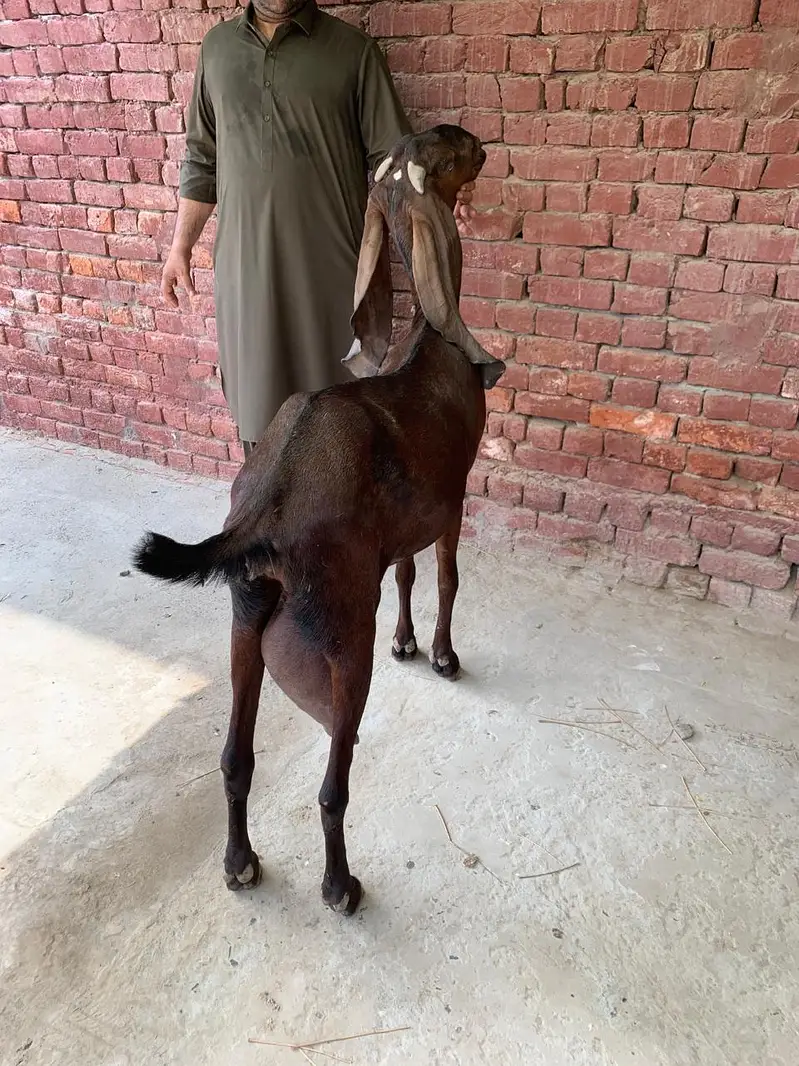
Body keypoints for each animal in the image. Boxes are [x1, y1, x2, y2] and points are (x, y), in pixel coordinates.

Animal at [133, 125, 503, 916]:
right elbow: (447, 577)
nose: (482, 144)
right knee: (333, 785)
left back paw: (240, 863)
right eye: (448, 151)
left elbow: (407, 573)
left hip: (245, 623)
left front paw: (406, 643)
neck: (432, 343)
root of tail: (264, 507)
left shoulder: (402, 525)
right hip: (337, 644)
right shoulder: (455, 497)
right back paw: (340, 885)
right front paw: (442, 656)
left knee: (234, 758)